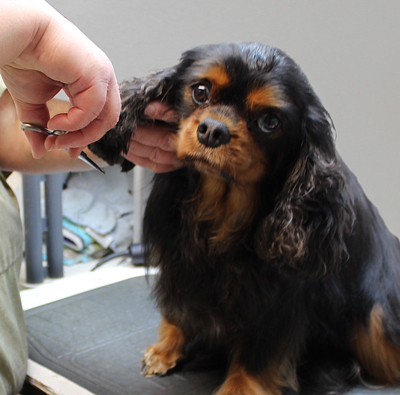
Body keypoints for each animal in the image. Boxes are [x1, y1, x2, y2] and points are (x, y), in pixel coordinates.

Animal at [89, 43, 400, 395]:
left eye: (270, 121)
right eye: (200, 92)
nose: (212, 130)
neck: (222, 204)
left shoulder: (278, 301)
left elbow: (259, 353)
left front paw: (240, 387)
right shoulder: (181, 264)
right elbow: (178, 309)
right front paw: (166, 348)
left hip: (377, 322)